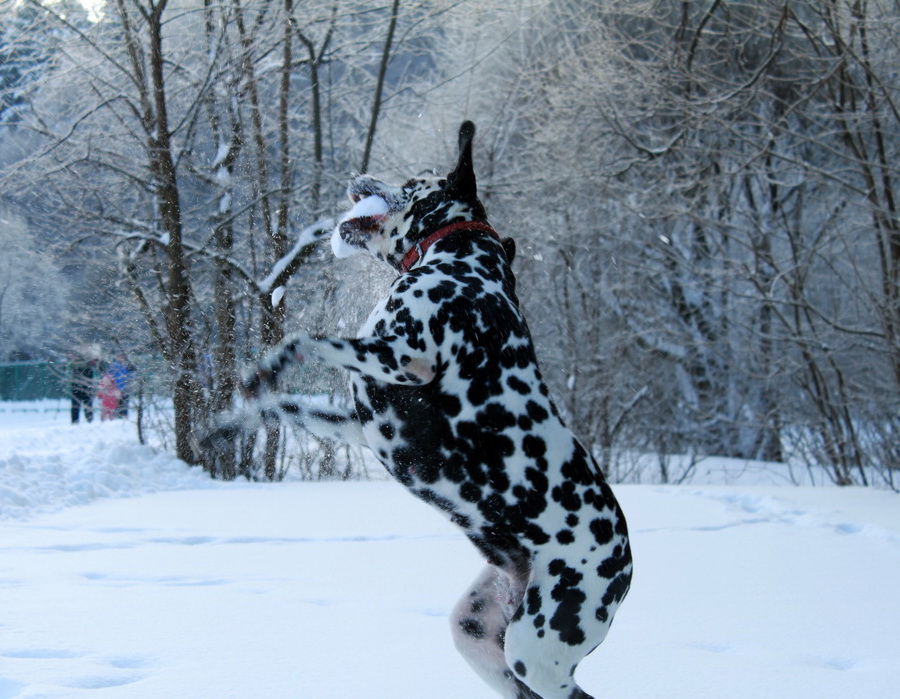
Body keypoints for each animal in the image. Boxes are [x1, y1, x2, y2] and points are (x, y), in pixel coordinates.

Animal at [220, 123, 624, 696]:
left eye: (413, 182)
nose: (359, 177)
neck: (459, 260)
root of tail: (624, 567)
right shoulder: (362, 424)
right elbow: (285, 408)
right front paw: (226, 424)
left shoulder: (404, 358)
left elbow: (304, 340)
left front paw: (266, 369)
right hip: (479, 633)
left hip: (538, 652)